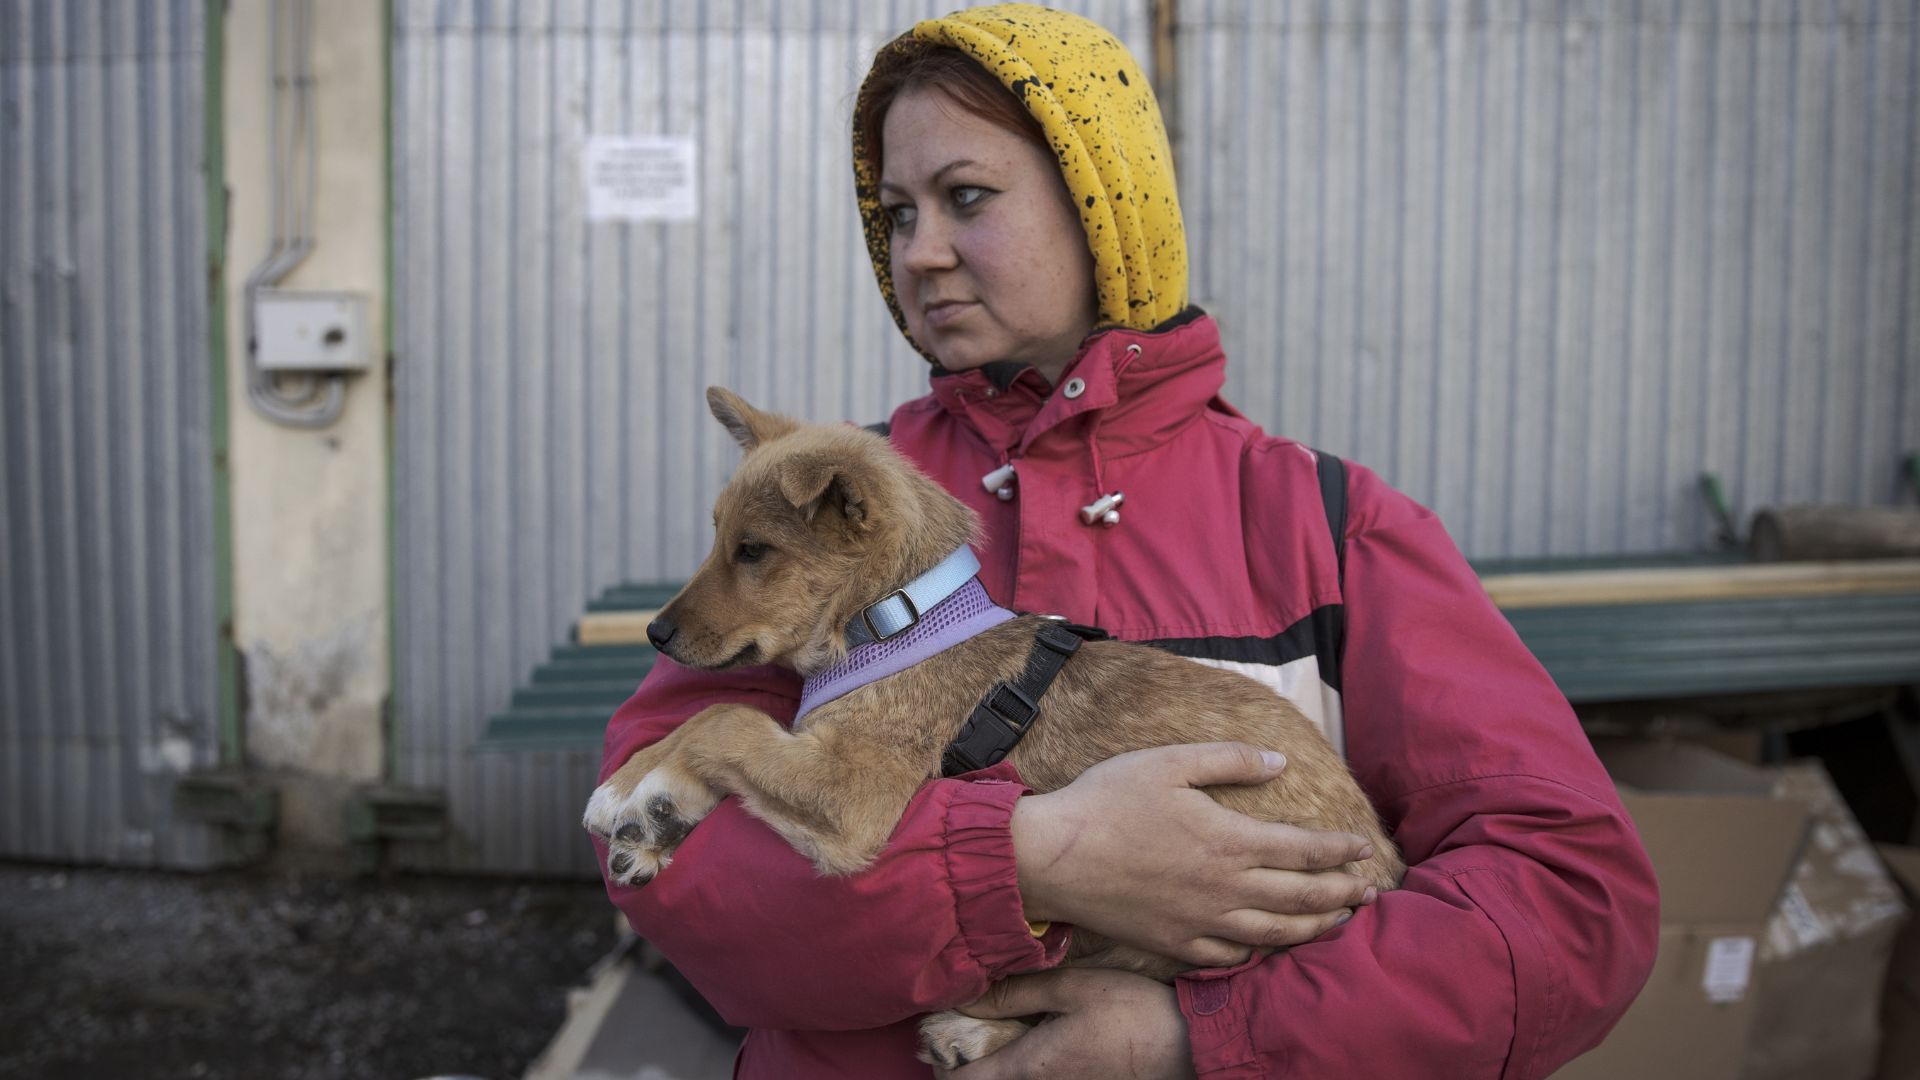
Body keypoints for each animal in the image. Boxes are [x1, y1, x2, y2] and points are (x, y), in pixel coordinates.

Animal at [576, 384, 1405, 1060]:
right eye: (719, 539)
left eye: (753, 551)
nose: (653, 634)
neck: (896, 619)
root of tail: (1384, 860)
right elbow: (700, 724)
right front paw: (643, 802)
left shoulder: (859, 794)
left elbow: (727, 717)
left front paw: (645, 798)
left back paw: (975, 1028)